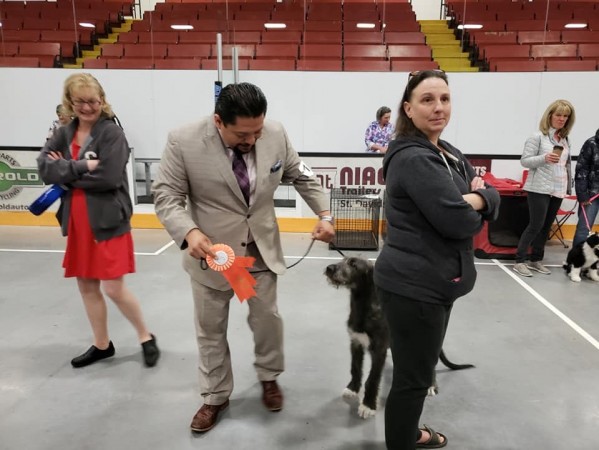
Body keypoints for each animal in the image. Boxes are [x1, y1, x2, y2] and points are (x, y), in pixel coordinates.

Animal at [326, 256, 476, 418]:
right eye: (342, 260)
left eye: (353, 264)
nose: (329, 268)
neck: (364, 307)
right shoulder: (356, 342)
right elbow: (355, 368)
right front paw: (352, 388)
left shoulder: (379, 350)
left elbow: (372, 379)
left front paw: (368, 405)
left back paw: (431, 385)